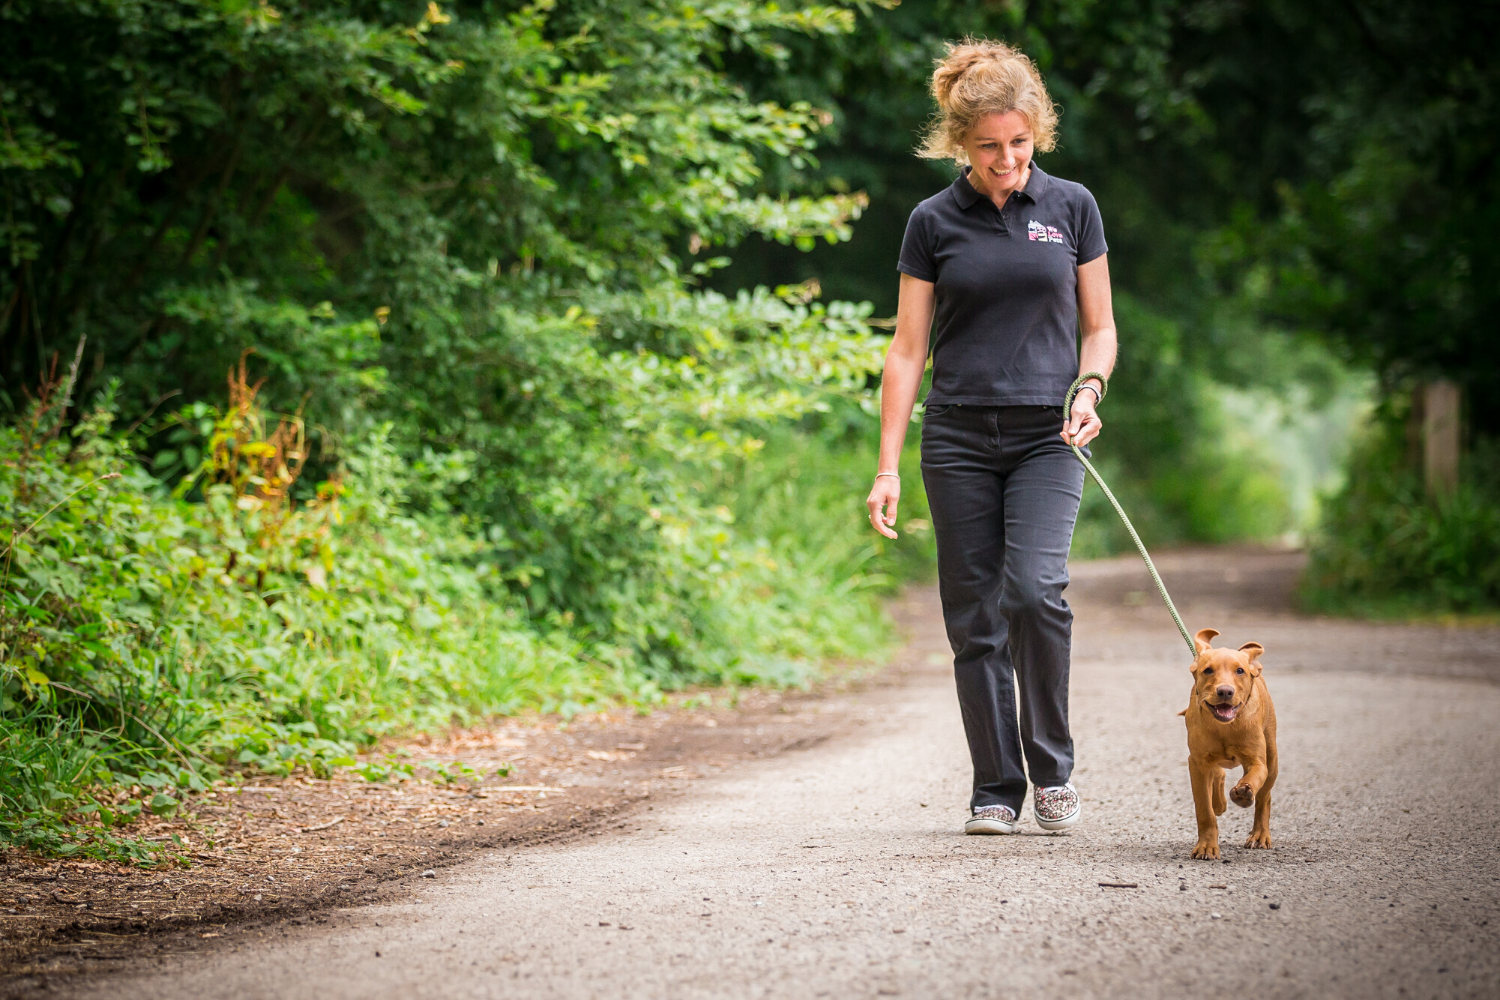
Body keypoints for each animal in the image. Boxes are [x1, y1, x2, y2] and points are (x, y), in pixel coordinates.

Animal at [1182, 629, 1278, 857]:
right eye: (1208, 670)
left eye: (1240, 671)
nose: (1225, 691)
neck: (1225, 727)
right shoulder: (1197, 763)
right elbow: (1204, 810)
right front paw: (1206, 846)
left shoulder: (1257, 761)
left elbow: (1254, 776)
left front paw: (1243, 792)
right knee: (1219, 774)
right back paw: (1219, 804)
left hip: (1273, 758)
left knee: (1265, 797)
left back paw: (1259, 835)